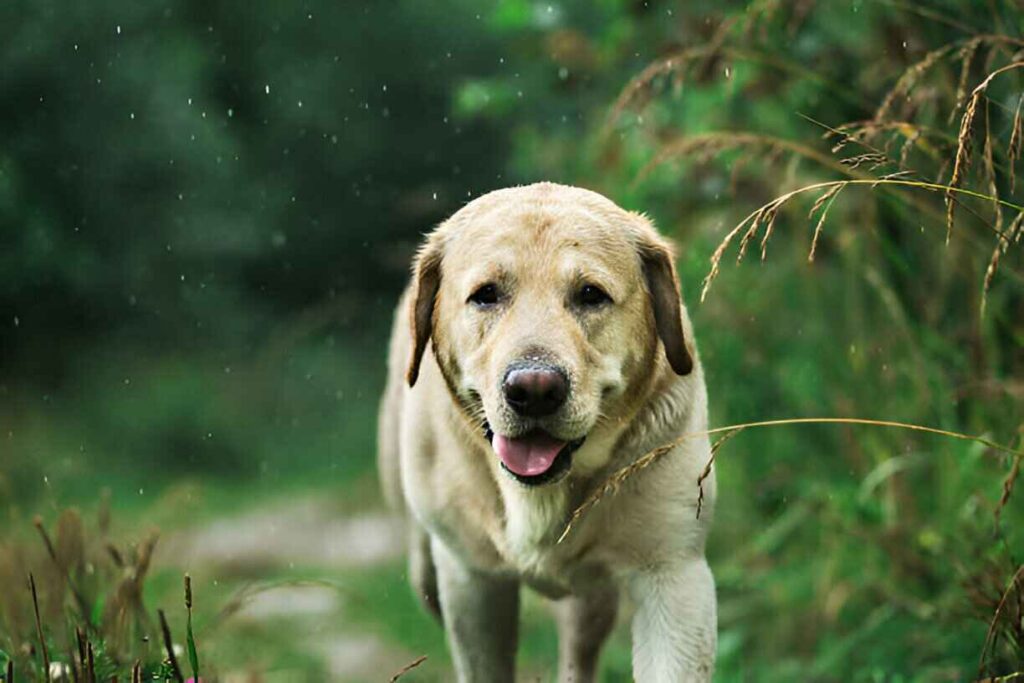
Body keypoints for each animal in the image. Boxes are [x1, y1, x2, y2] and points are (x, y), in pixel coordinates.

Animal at [374, 183, 712, 683]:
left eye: (591, 294)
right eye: (486, 295)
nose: (534, 389)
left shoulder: (674, 576)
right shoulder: (472, 582)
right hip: (427, 569)